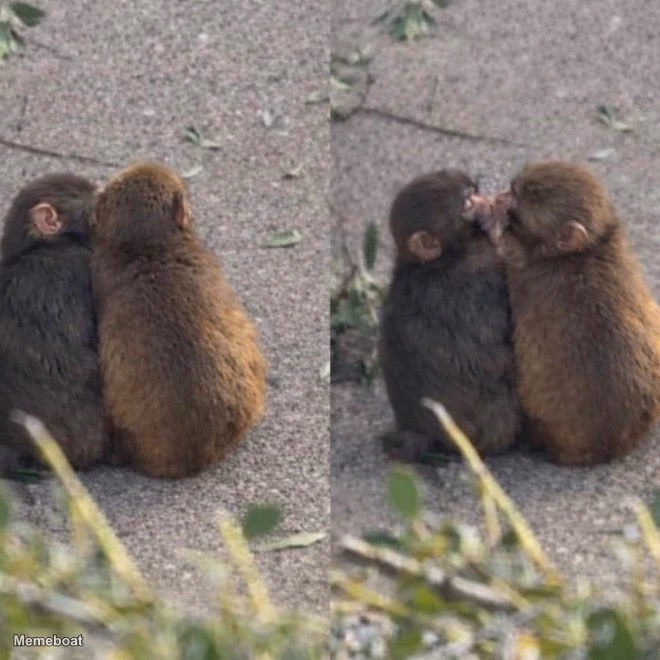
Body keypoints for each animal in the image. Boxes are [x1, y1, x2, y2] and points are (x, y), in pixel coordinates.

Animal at [482, 161, 660, 466]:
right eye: (513, 190)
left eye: (516, 200)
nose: (502, 197)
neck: (583, 251)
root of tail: (608, 447)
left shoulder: (526, 275)